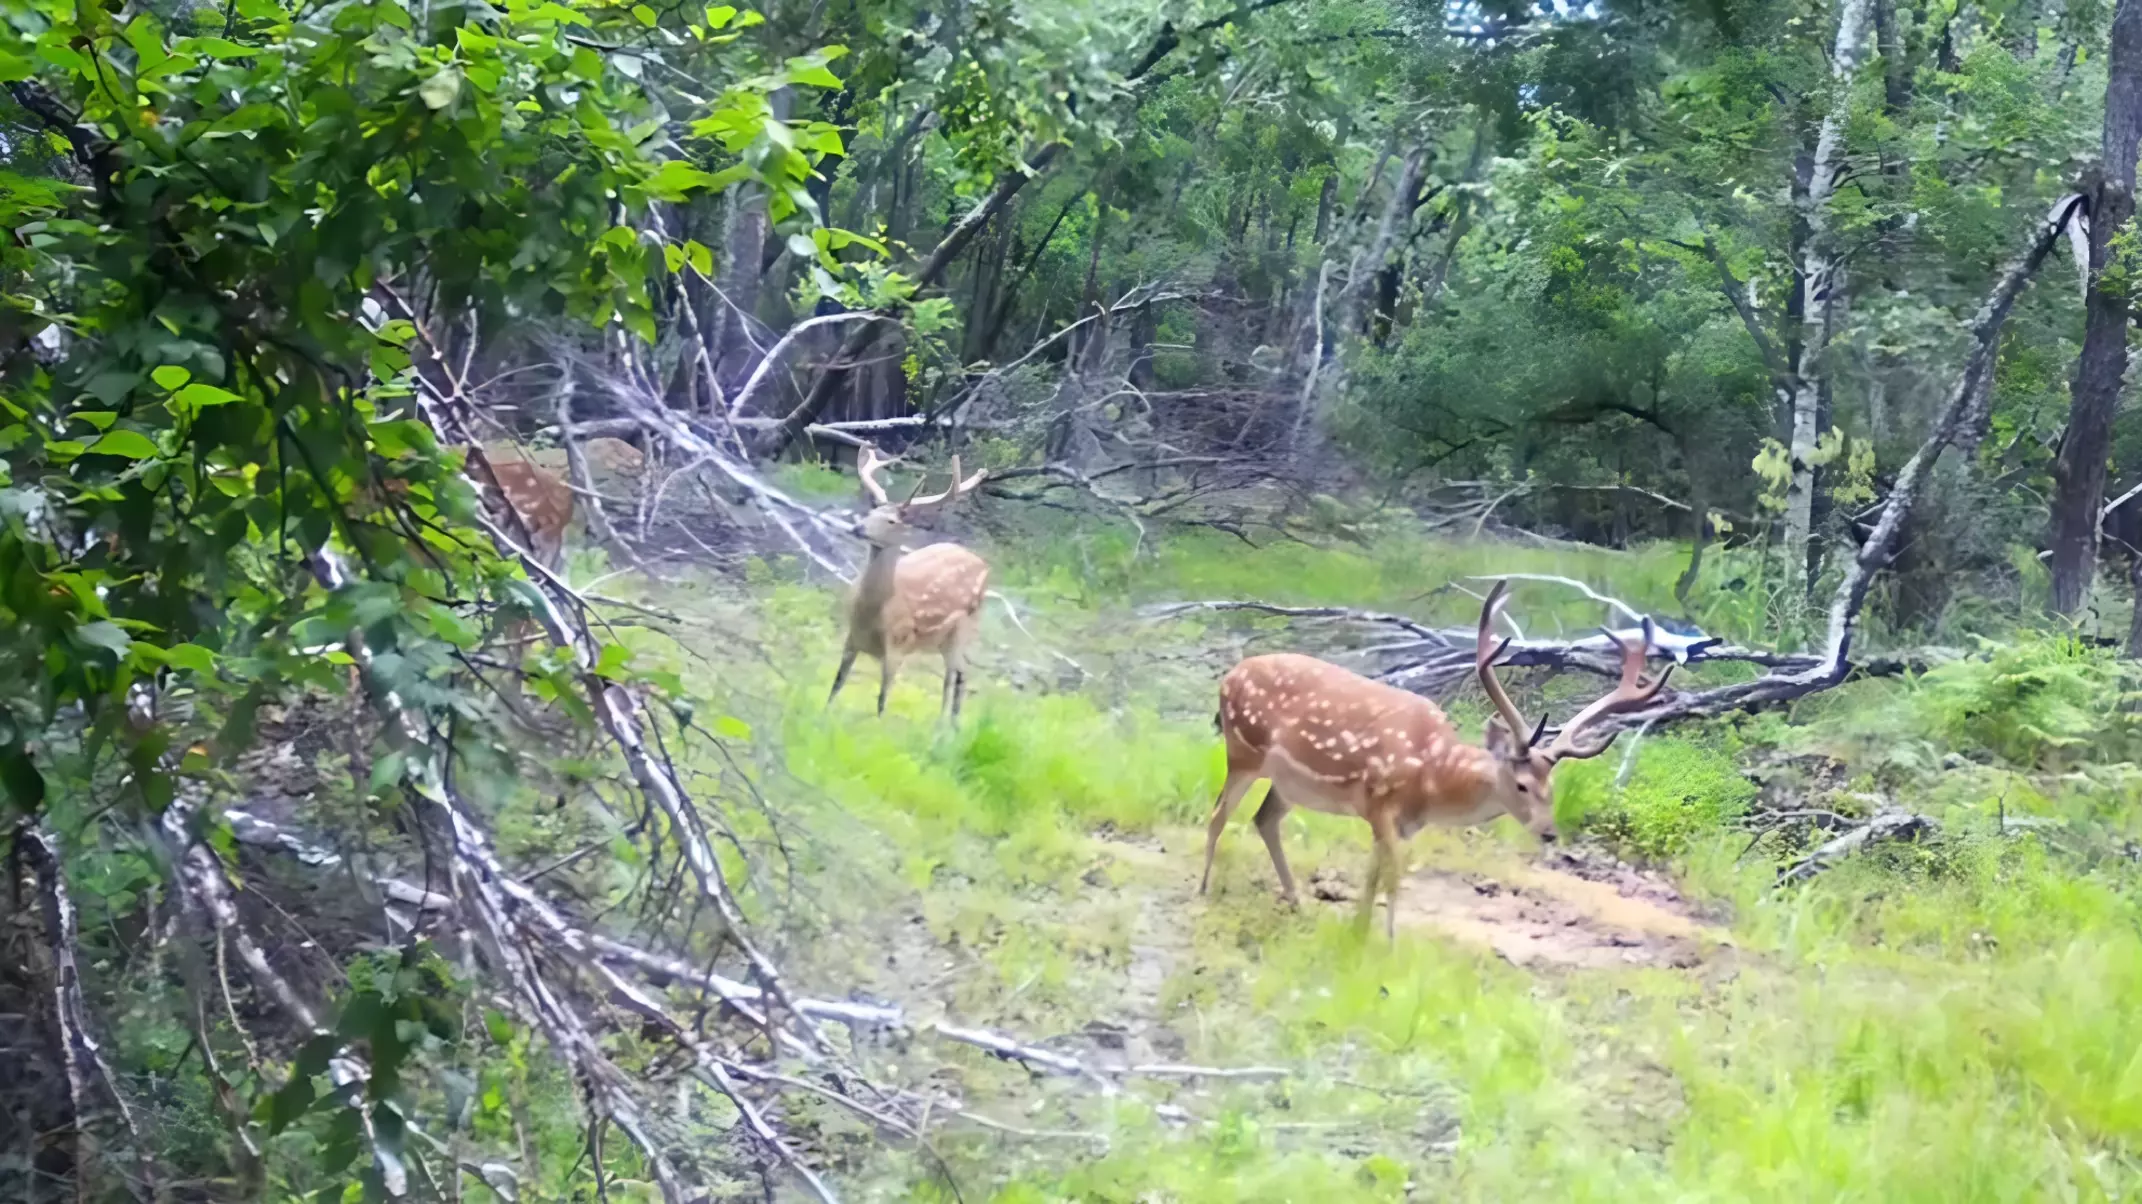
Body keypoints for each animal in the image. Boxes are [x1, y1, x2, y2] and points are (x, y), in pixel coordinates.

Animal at [826, 443, 993, 715]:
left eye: (891, 520)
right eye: (871, 511)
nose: (857, 528)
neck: (873, 615)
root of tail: (984, 565)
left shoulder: (897, 649)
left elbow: (882, 702)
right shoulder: (851, 639)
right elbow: (836, 685)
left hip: (963, 629)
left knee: (955, 676)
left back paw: (944, 725)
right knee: (959, 675)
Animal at [1208, 578, 1670, 938]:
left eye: (1552, 786)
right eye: (1521, 785)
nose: (1549, 833)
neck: (1430, 780)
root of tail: (1228, 677)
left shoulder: (1395, 823)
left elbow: (1373, 878)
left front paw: (1358, 934)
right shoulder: (1380, 803)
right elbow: (1393, 881)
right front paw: (1387, 946)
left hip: (1288, 782)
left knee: (1264, 819)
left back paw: (1296, 904)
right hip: (1242, 749)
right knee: (1218, 813)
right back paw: (1204, 889)